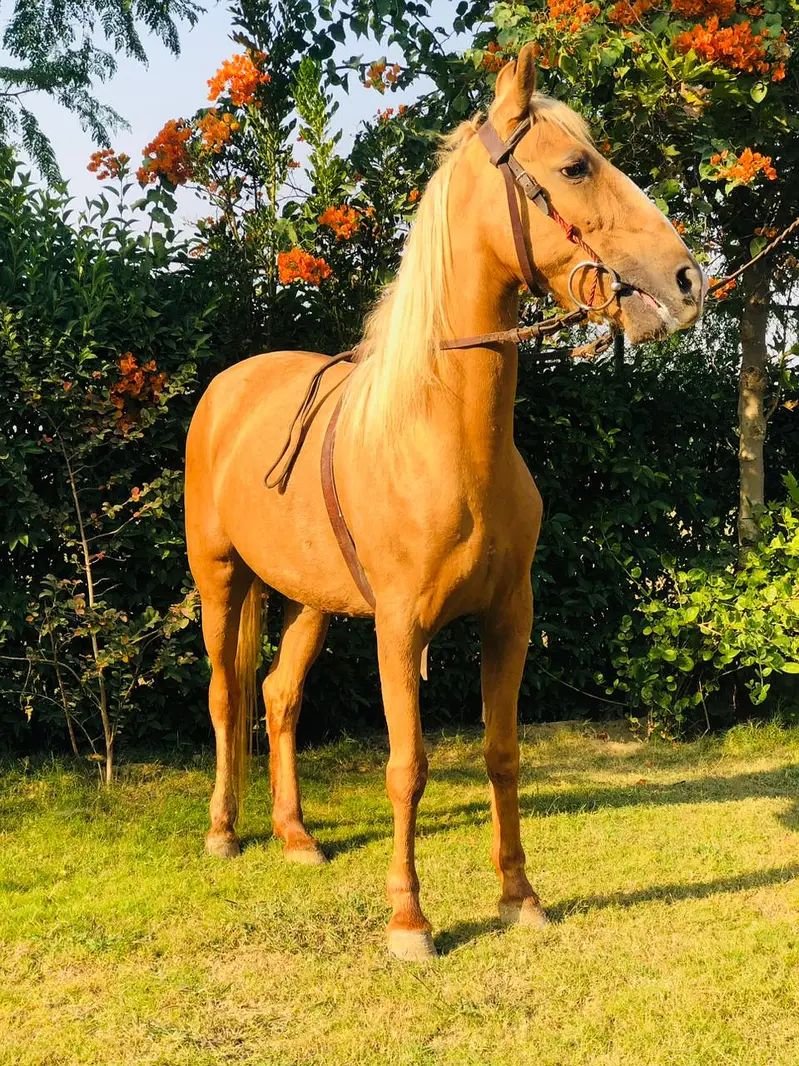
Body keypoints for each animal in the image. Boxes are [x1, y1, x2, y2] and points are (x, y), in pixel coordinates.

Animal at [185, 45, 704, 961]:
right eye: (574, 167)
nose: (684, 282)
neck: (446, 442)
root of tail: (227, 388)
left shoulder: (509, 619)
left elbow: (501, 754)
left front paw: (519, 897)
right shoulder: (399, 629)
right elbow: (408, 766)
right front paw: (408, 920)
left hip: (310, 600)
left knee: (277, 697)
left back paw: (295, 835)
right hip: (220, 581)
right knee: (225, 694)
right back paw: (224, 832)